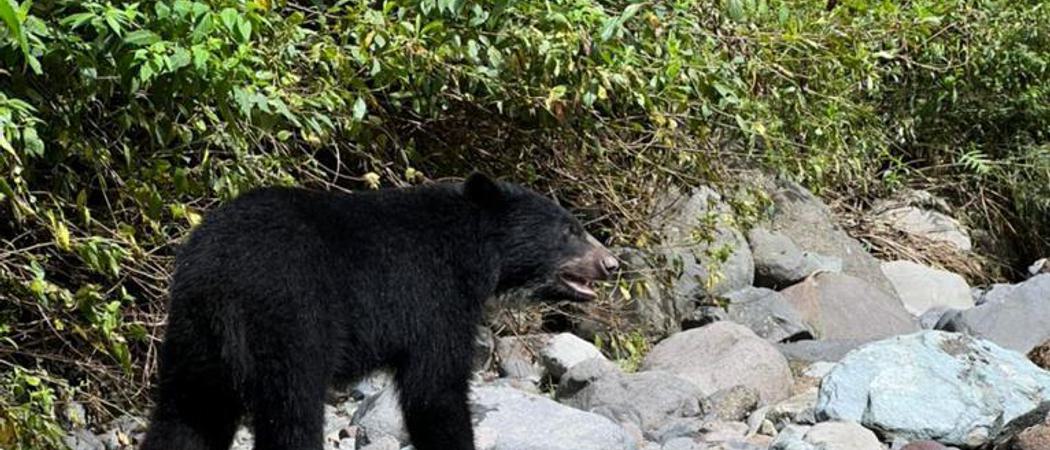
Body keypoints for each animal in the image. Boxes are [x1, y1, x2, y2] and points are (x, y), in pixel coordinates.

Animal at [140, 173, 619, 450]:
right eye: (570, 230)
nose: (611, 263)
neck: (473, 251)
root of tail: (219, 277)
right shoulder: (432, 296)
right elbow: (435, 388)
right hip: (290, 323)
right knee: (292, 413)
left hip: (192, 340)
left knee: (183, 417)